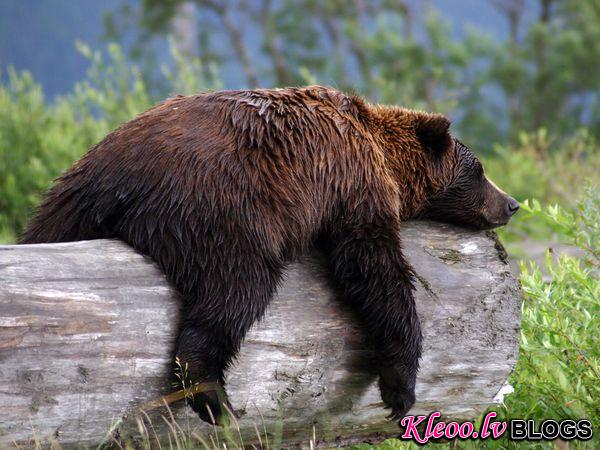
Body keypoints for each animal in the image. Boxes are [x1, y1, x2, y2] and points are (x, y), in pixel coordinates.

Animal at [21, 85, 516, 426]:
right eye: (479, 170)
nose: (511, 203)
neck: (381, 153)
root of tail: (116, 179)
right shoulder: (353, 185)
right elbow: (372, 269)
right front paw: (400, 389)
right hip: (221, 209)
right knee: (236, 289)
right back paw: (213, 397)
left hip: (65, 203)